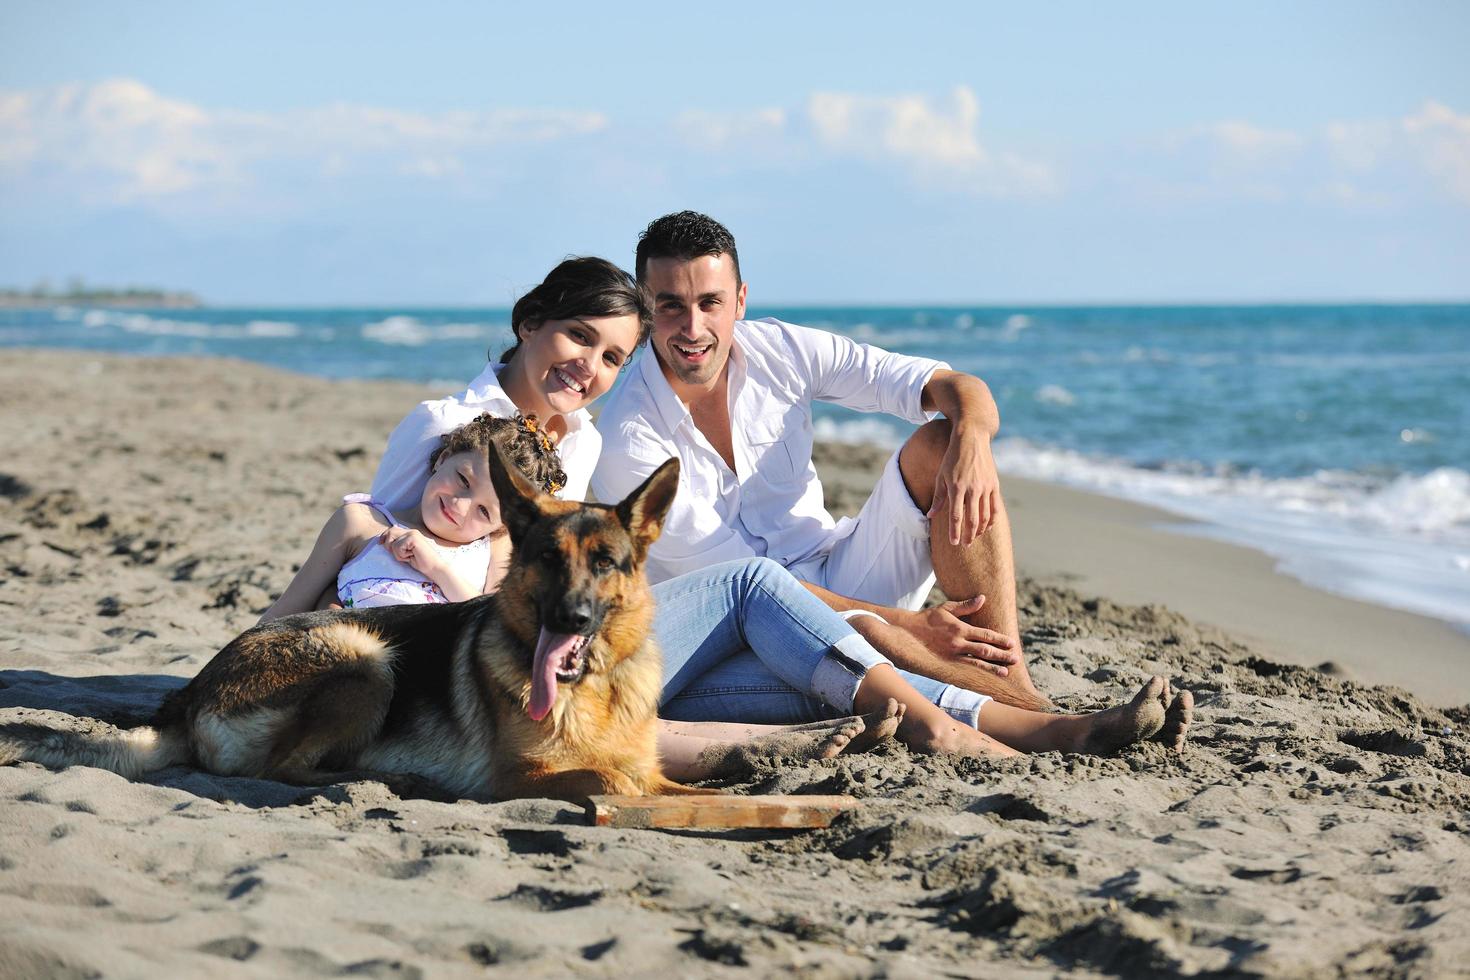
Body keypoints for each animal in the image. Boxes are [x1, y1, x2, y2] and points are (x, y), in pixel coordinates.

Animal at [1, 443, 687, 805]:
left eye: (604, 563)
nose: (571, 617)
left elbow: (661, 782)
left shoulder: (653, 770)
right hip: (366, 658)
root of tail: (189, 698)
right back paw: (392, 779)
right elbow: (612, 777)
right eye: (547, 558)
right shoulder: (516, 778)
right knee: (283, 769)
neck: (597, 688)